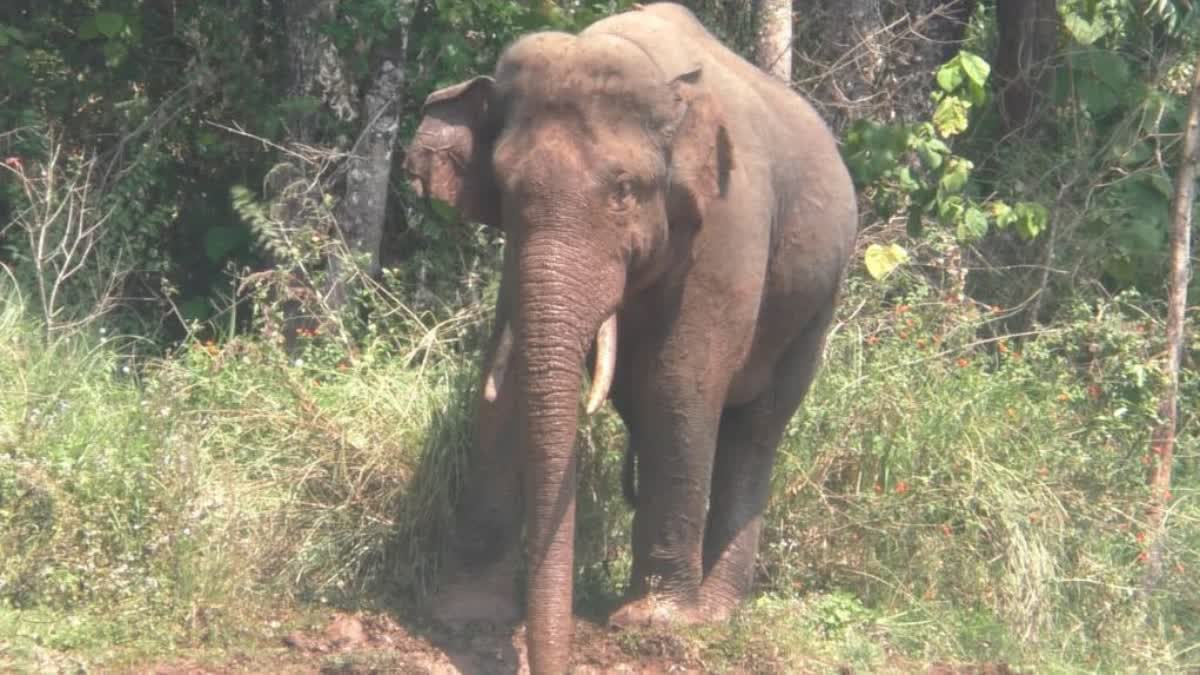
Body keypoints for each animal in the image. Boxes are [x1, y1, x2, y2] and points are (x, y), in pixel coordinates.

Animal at [408, 2, 859, 667]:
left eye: (623, 191)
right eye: (507, 192)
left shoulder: (729, 229)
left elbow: (681, 383)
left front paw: (654, 621)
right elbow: (507, 382)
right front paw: (464, 612)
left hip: (817, 301)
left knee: (756, 427)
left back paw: (715, 612)